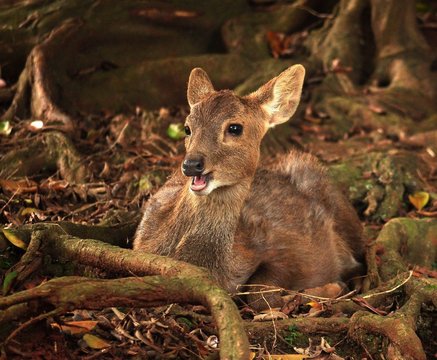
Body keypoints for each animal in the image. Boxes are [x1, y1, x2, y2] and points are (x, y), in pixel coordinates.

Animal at [133, 64, 364, 310]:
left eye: (235, 128)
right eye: (187, 128)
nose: (192, 164)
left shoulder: (288, 249)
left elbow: (259, 293)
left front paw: (317, 291)